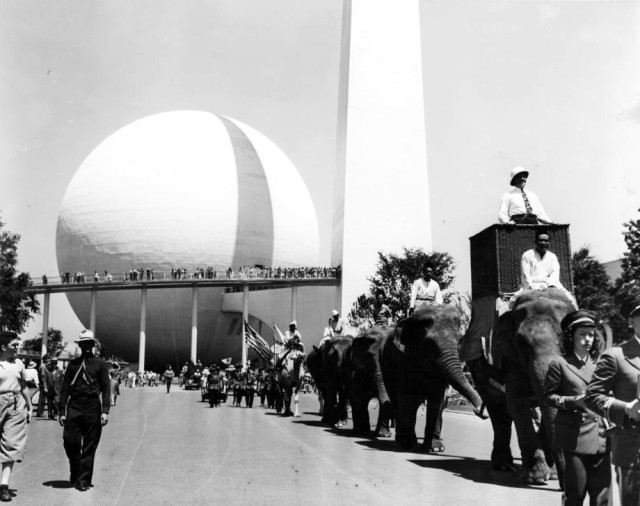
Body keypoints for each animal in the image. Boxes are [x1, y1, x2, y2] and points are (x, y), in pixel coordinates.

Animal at [350, 304, 484, 450]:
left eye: (460, 341)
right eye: (429, 343)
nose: (479, 410)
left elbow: (437, 400)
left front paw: (436, 448)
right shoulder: (402, 358)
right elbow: (406, 397)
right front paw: (408, 444)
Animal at [462, 286, 576, 484]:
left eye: (566, 340)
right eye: (522, 343)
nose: (562, 485)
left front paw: (551, 474)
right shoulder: (509, 357)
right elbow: (516, 402)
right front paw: (537, 478)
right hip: (477, 370)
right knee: (499, 411)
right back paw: (504, 466)